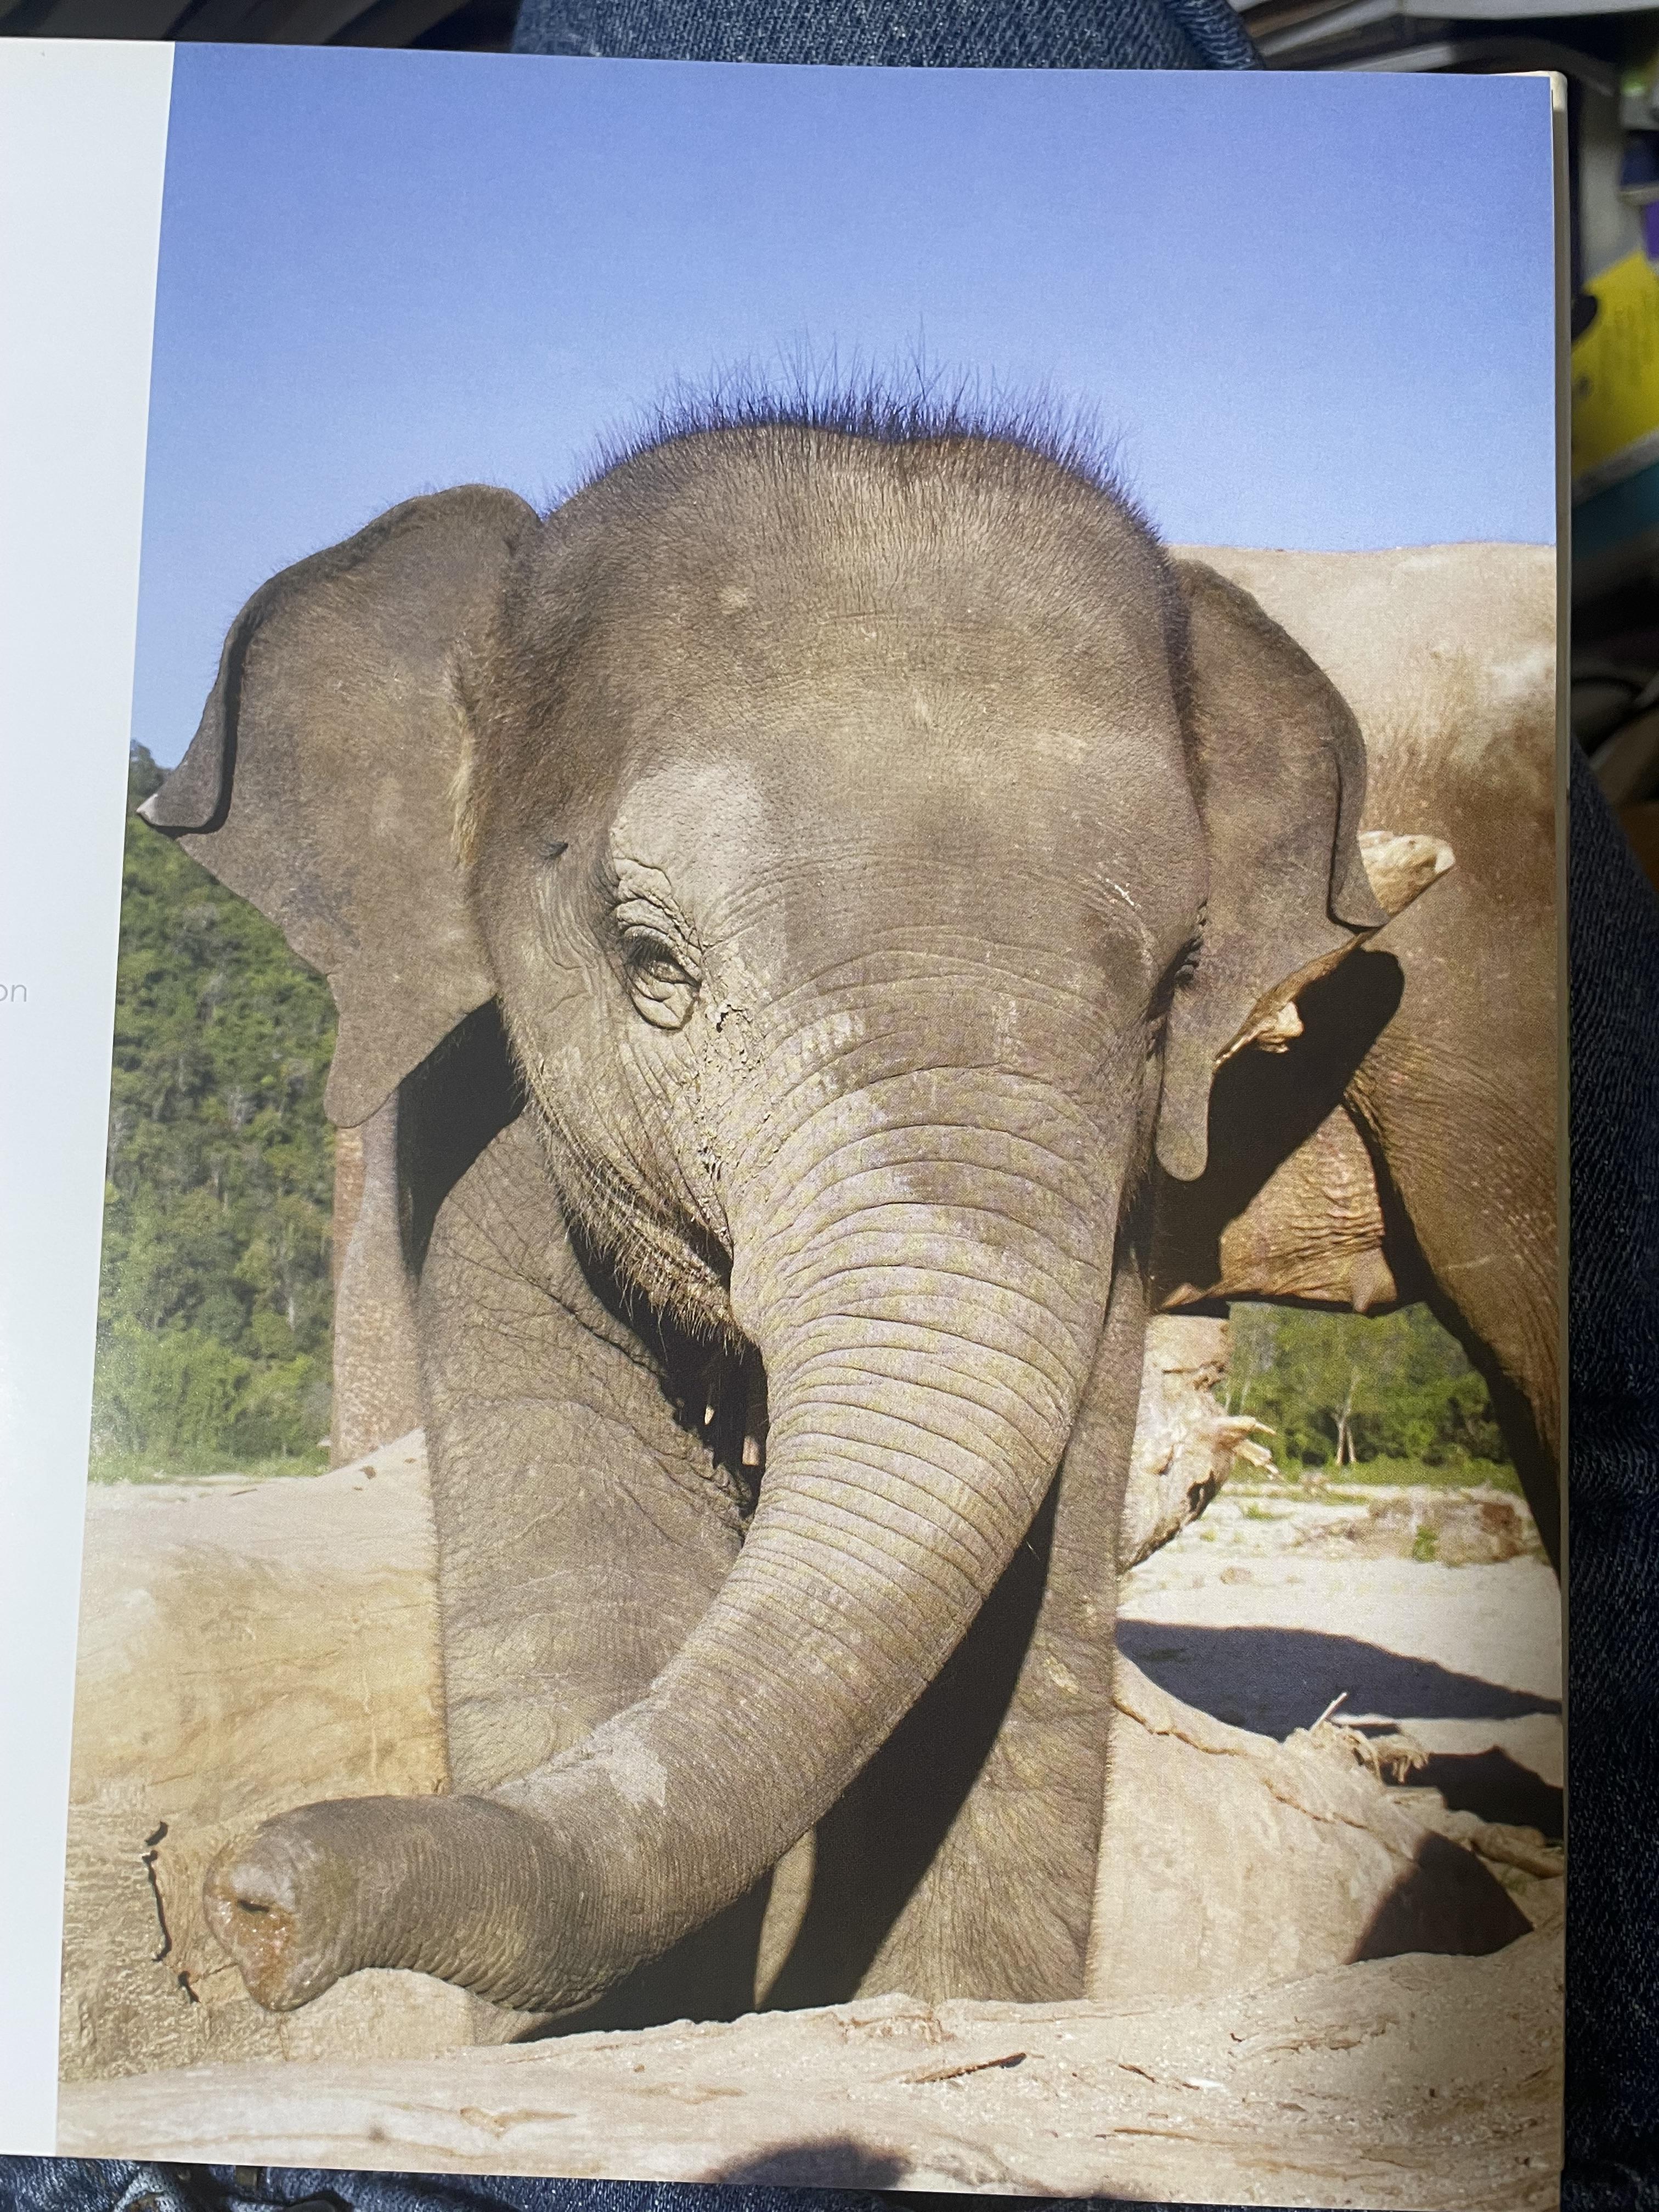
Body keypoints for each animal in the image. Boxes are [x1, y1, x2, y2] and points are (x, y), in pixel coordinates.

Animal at [136, 402, 1543, 2031]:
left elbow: (1019, 1636)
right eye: (649, 961)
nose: (252, 1906)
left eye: (1176, 983)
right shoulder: (472, 1108)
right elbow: (585, 1568)